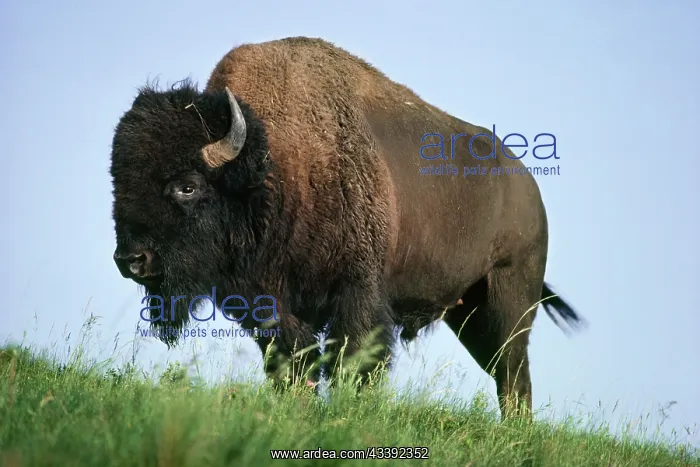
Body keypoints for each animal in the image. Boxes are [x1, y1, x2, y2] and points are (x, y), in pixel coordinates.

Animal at [110, 36, 583, 418]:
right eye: (117, 181)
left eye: (187, 186)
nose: (131, 260)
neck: (274, 169)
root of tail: (528, 189)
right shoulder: (271, 306)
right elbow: (291, 361)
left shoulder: (356, 293)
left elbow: (354, 361)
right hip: (467, 313)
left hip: (508, 300)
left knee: (512, 371)